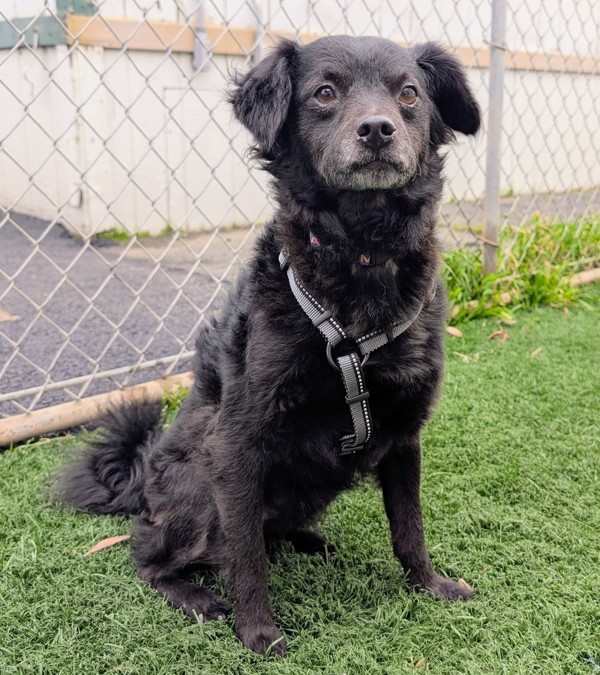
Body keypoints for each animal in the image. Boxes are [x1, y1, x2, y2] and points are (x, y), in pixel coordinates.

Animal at [59, 35, 482, 656]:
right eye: (324, 93)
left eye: (409, 94)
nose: (377, 129)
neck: (360, 259)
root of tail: (141, 484)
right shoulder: (237, 441)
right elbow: (246, 558)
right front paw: (257, 632)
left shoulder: (405, 433)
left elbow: (410, 529)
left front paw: (430, 586)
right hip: (198, 485)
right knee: (152, 556)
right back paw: (196, 597)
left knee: (270, 531)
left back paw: (313, 542)